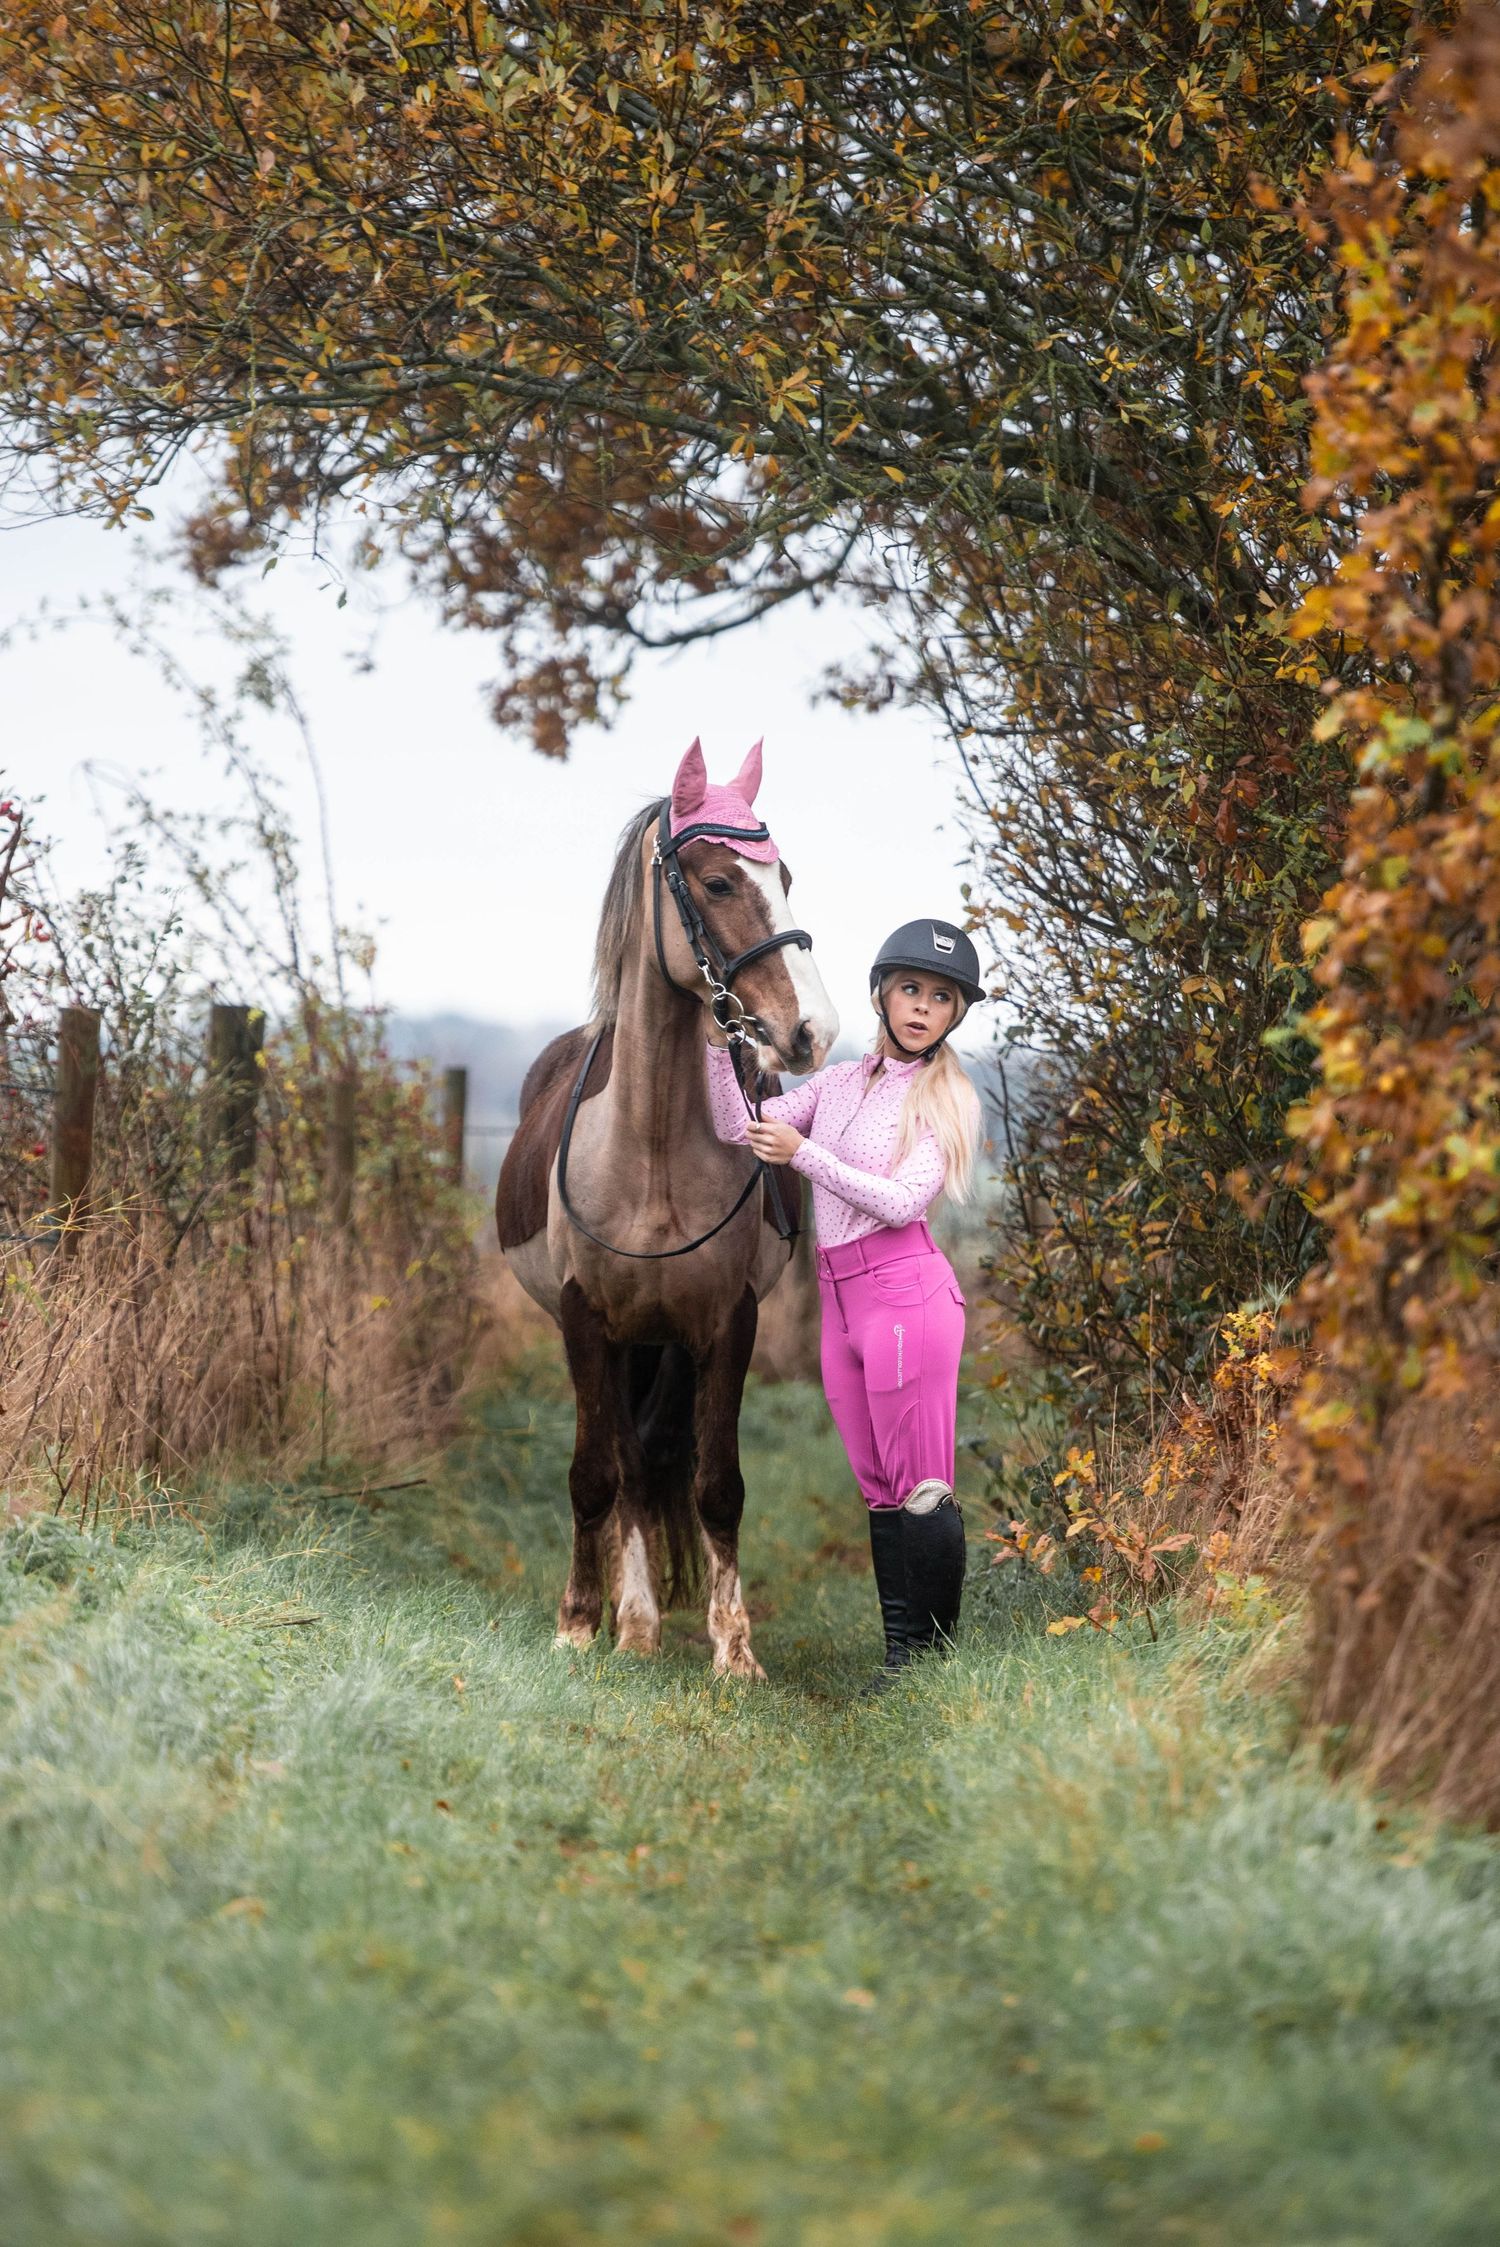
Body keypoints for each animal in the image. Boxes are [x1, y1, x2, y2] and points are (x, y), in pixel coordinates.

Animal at [497, 740, 838, 1677]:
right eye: (718, 882)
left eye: (785, 875)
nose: (814, 1031)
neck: (648, 1155)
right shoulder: (584, 1318)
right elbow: (593, 1475)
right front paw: (582, 1622)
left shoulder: (725, 1321)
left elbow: (715, 1483)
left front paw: (735, 1649)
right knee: (623, 1464)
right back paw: (630, 1616)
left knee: (651, 1460)